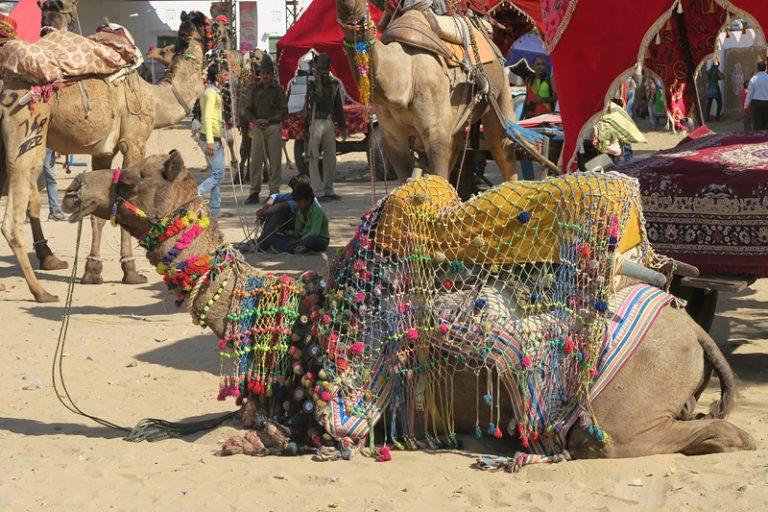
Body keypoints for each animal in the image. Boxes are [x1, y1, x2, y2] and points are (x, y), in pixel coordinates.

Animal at [0, 10, 210, 302]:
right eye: (209, 24)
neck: (156, 99)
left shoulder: (103, 151)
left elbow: (97, 212)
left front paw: (92, 271)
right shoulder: (133, 141)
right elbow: (127, 205)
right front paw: (131, 271)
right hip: (26, 136)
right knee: (12, 219)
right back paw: (41, 291)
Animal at [61, 151, 756, 464]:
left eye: (131, 176)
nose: (73, 190)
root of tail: (690, 330)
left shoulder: (339, 412)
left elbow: (266, 434)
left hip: (617, 418)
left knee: (706, 435)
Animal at [334, 0, 516, 182]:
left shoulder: (436, 131)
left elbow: (438, 172)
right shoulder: (392, 138)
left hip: (499, 92)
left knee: (503, 146)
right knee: (457, 147)